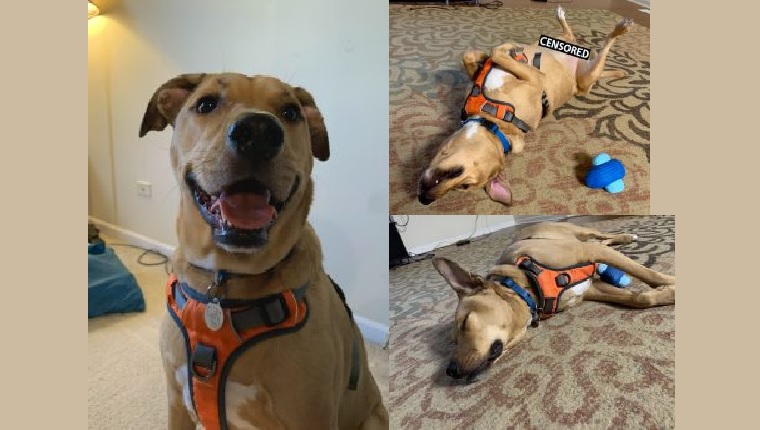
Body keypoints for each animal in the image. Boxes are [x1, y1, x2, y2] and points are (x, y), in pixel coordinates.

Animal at [138, 73, 386, 430]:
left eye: (291, 112)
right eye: (206, 104)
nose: (258, 132)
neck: (223, 286)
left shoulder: (312, 416)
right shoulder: (177, 401)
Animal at [418, 5, 632, 206]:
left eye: (465, 185)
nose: (423, 199)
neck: (495, 122)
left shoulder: (536, 77)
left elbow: (496, 54)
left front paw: (505, 50)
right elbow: (471, 55)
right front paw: (488, 56)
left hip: (586, 76)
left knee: (603, 41)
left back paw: (620, 28)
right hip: (572, 55)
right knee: (571, 36)